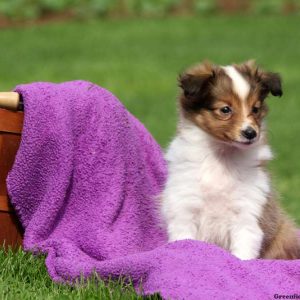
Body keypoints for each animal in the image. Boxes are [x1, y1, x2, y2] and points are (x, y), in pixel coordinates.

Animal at [161, 59, 300, 258]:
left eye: (255, 109)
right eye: (225, 109)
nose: (251, 133)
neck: (222, 156)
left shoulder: (247, 214)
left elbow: (242, 254)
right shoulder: (184, 209)